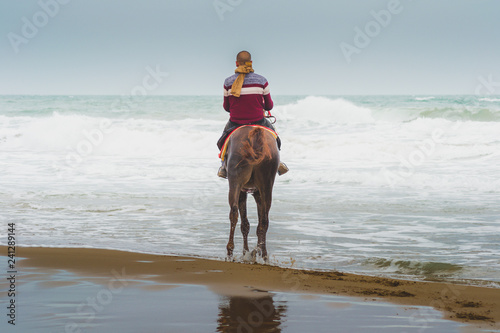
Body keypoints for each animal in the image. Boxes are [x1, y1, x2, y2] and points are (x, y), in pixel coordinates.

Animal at [224, 124, 280, 260]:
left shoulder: (243, 192)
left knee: (234, 212)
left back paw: (230, 251)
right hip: (266, 182)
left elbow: (245, 224)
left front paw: (246, 252)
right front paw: (253, 252)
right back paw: (263, 255)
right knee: (264, 219)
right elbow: (257, 223)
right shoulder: (258, 193)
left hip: (236, 180)